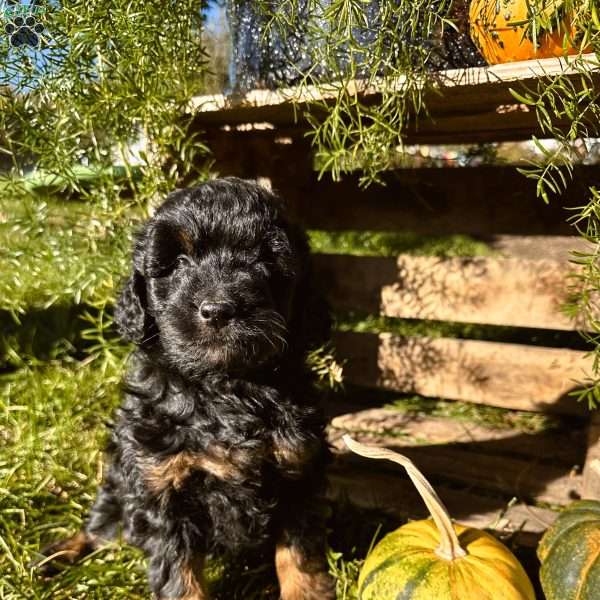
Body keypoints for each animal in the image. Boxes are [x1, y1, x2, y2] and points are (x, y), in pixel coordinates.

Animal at [39, 179, 336, 600]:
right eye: (177, 262)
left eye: (265, 262)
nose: (218, 310)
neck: (224, 387)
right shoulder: (162, 484)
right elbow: (179, 571)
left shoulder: (299, 468)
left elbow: (299, 552)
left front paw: (306, 591)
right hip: (119, 480)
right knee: (102, 525)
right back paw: (57, 554)